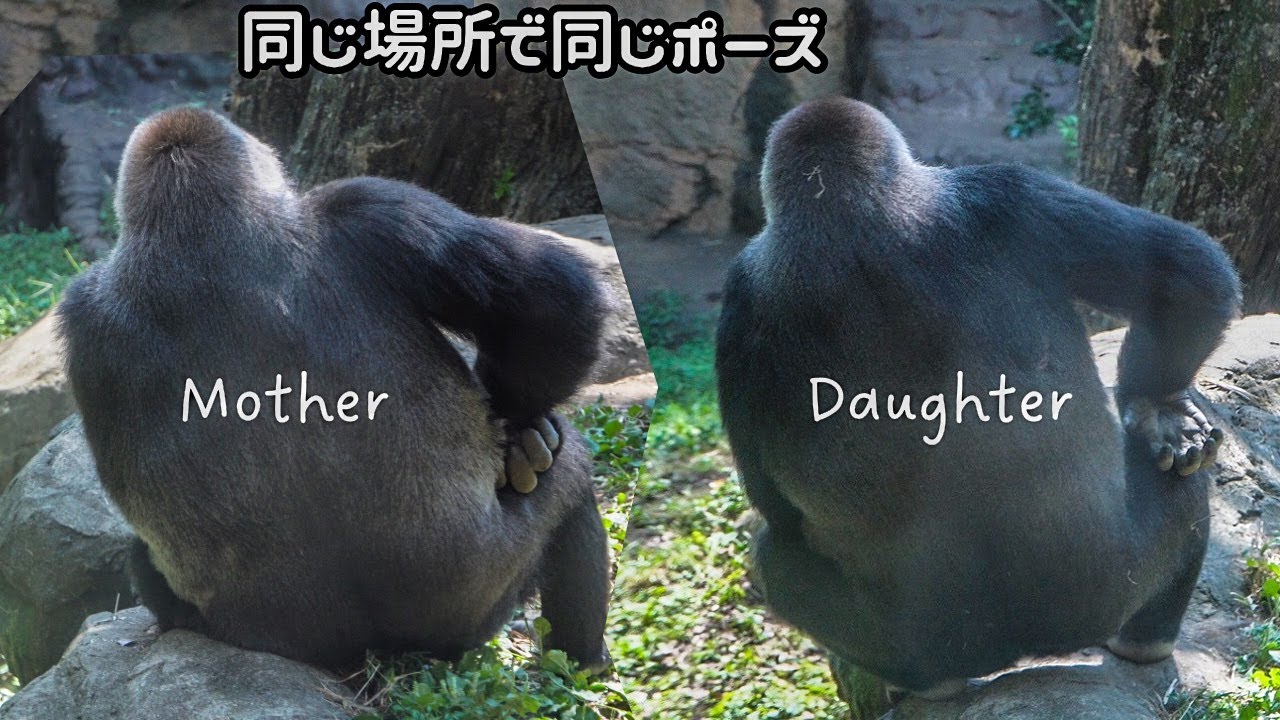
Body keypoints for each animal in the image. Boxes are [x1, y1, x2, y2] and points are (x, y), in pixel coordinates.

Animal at [57, 106, 613, 673]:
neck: (192, 233)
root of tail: (372, 653)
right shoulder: (368, 207)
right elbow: (557, 305)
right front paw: (513, 427)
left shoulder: (83, 318)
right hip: (464, 616)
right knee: (571, 488)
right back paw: (581, 659)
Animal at [715, 97, 1241, 698]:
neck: (842, 217)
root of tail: (1014, 651)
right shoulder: (1011, 192)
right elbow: (1188, 276)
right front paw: (1156, 407)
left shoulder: (737, 307)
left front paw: (1160, 411)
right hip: (1098, 598)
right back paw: (1144, 643)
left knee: (776, 558)